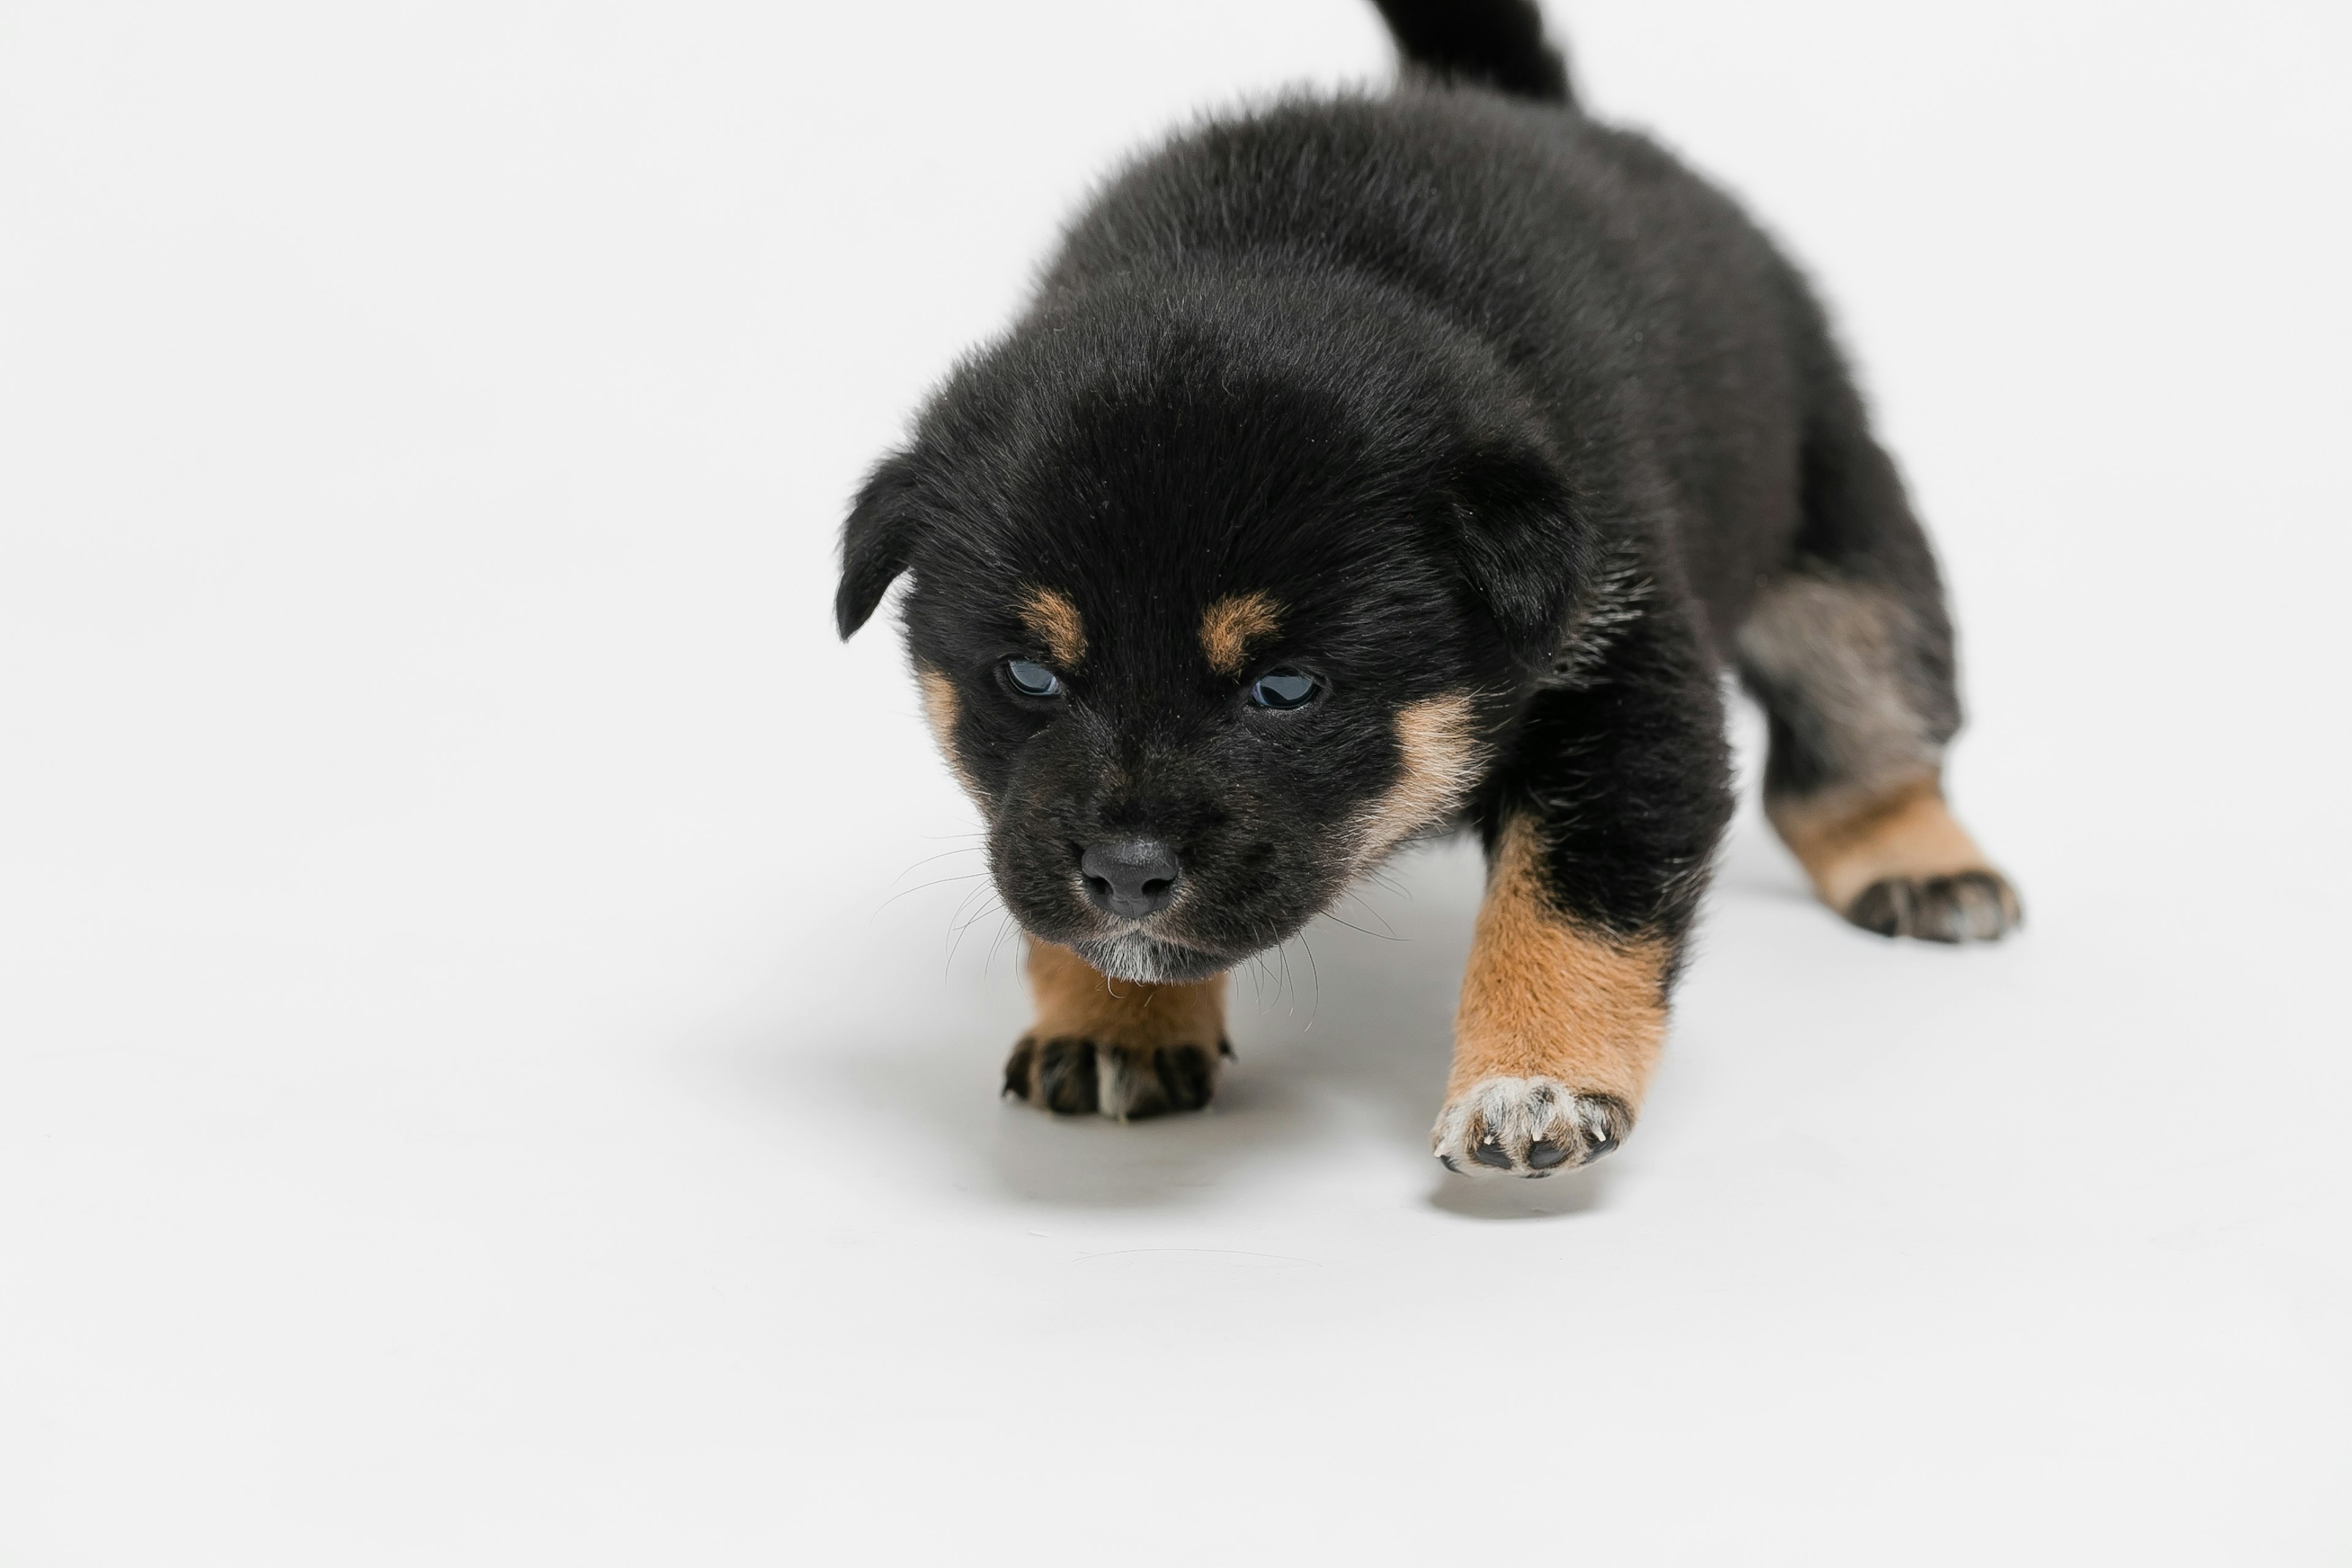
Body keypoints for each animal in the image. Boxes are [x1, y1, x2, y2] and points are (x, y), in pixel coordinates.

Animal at [837, 0, 2013, 1175]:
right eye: (1029, 676)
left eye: (1285, 689)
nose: (1126, 873)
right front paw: (1112, 1020)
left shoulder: (1625, 682)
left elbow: (1573, 905)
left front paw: (1532, 1085)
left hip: (1840, 526)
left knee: (1861, 718)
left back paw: (1922, 866)